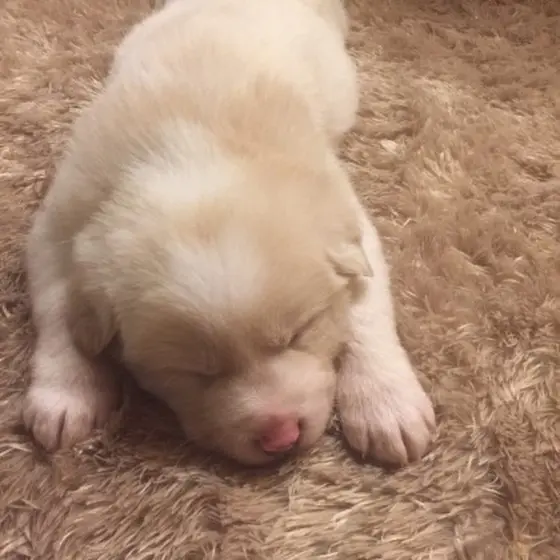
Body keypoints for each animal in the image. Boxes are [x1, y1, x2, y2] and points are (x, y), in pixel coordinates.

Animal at [22, 0, 435, 466]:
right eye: (195, 371)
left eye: (299, 334)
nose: (281, 436)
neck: (189, 162)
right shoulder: (58, 224)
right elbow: (58, 307)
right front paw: (65, 396)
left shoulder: (348, 223)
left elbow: (366, 311)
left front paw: (387, 406)